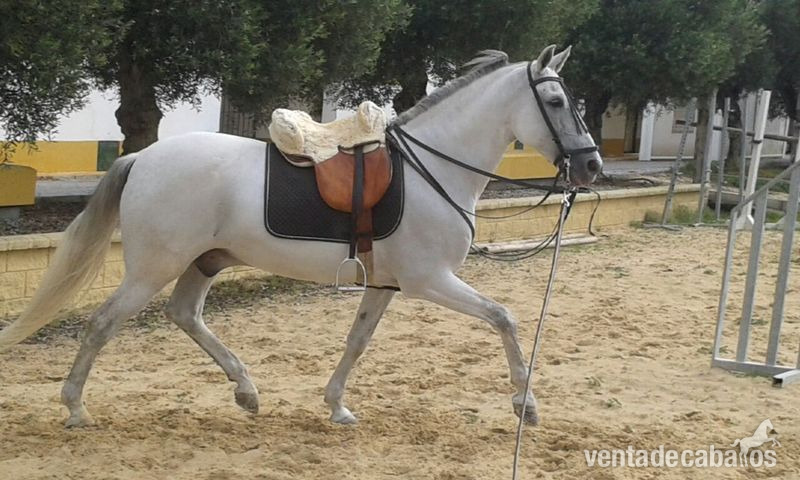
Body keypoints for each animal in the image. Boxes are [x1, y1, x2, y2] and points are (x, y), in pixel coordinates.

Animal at [0, 45, 601, 428]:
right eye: (555, 102)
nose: (591, 165)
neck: (433, 169)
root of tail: (142, 157)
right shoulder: (430, 280)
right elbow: (505, 318)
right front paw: (526, 405)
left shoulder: (384, 285)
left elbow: (357, 342)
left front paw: (337, 406)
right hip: (154, 267)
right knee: (103, 324)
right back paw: (76, 408)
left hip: (204, 261)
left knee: (185, 315)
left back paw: (246, 392)